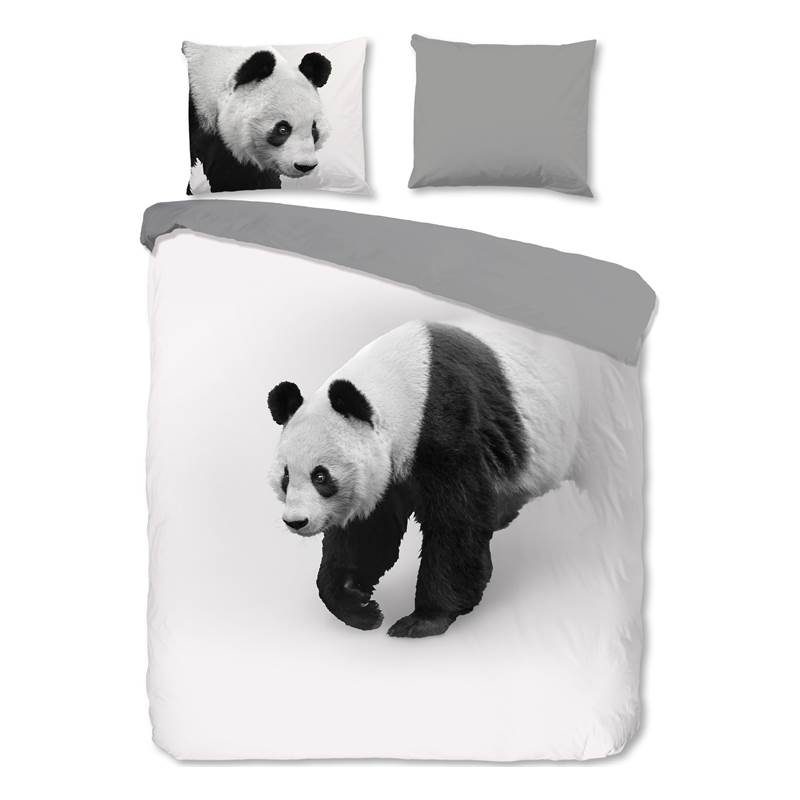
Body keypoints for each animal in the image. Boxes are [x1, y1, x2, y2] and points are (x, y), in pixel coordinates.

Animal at [267, 318, 587, 638]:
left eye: (320, 476)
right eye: (286, 476)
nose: (296, 522)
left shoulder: (449, 425)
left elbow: (457, 522)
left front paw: (423, 619)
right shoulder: (388, 476)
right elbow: (368, 534)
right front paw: (358, 606)